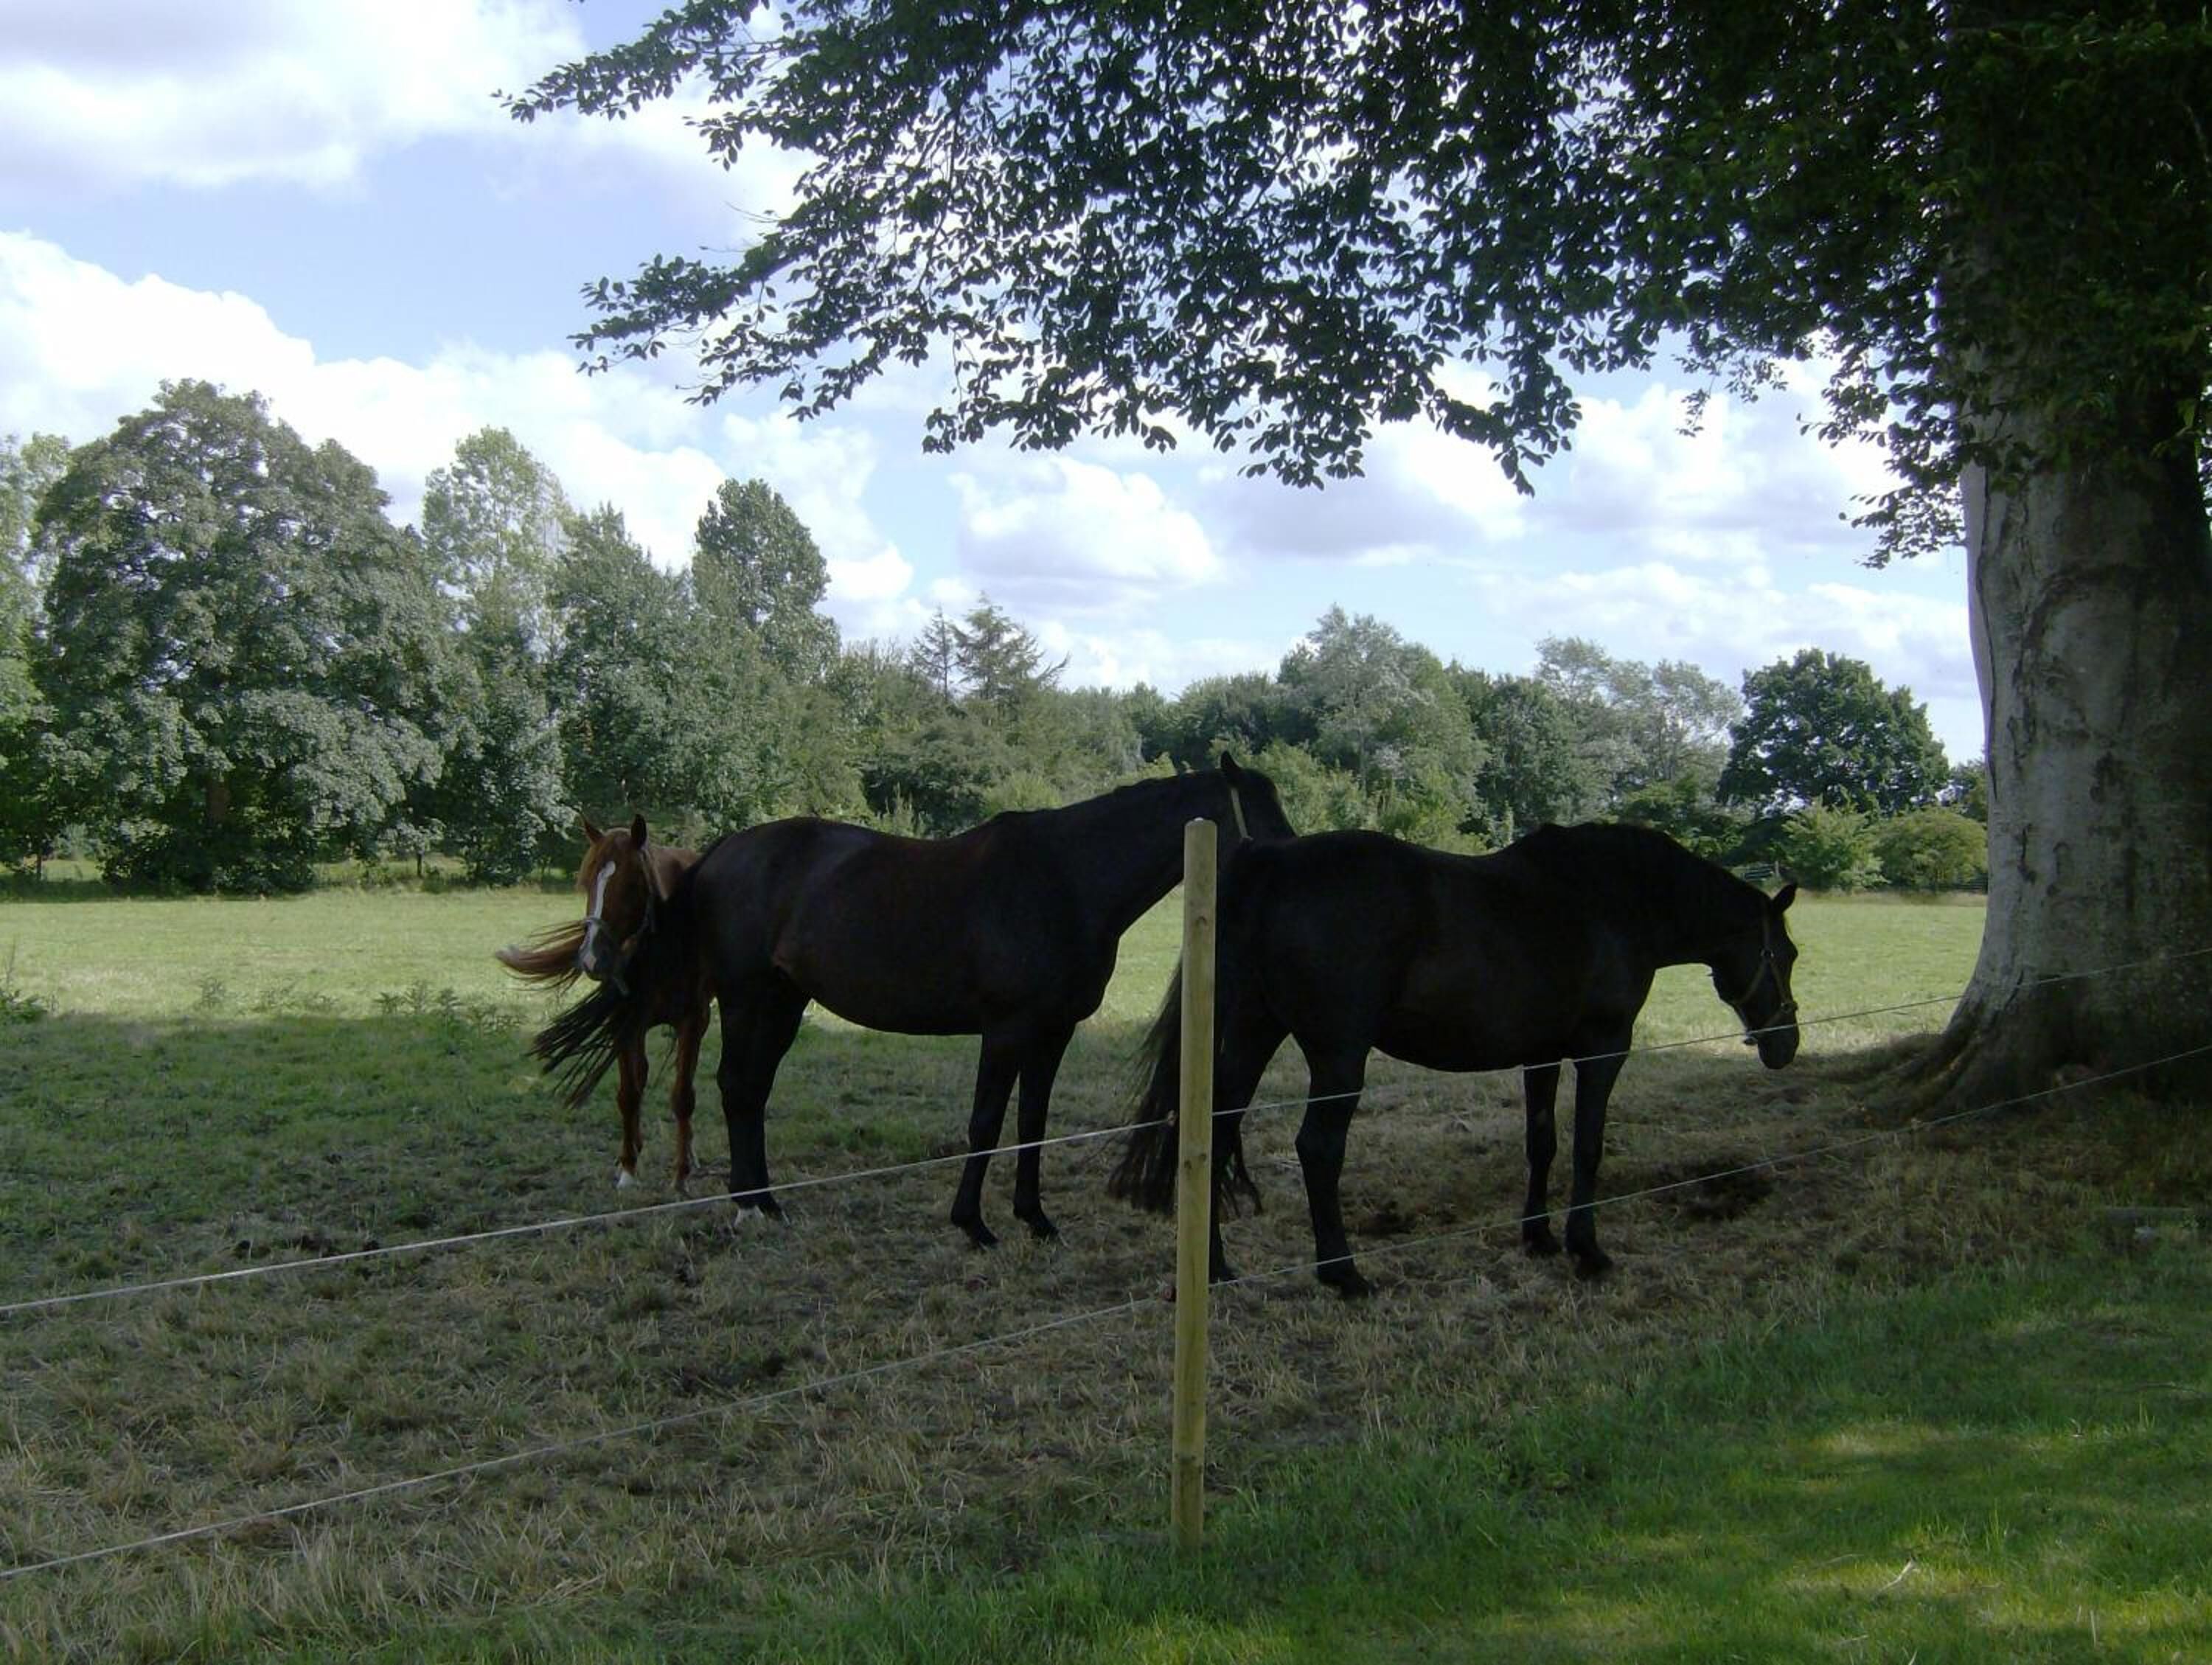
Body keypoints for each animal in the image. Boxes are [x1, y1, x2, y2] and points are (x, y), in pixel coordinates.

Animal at [497, 815, 712, 1191]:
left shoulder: (693, 1020)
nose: (591, 959)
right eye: (586, 884)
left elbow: (683, 1096)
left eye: (631, 885)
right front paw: (628, 1167)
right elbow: (629, 1093)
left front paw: (681, 1174)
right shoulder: (626, 1021)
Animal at [529, 757, 1295, 1247]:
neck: (1065, 879)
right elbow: (986, 1123)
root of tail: (720, 853)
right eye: (1259, 812)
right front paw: (974, 1225)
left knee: (750, 1092)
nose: (1298, 857)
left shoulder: (1053, 1033)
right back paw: (748, 1206)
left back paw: (767, 1205)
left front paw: (1035, 1219)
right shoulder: (1006, 1030)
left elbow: (1033, 1123)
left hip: (783, 1003)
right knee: (735, 1087)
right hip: (748, 1000)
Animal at [1108, 821, 1801, 1297]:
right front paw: (1587, 1249)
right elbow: (1588, 1146)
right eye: (1787, 954)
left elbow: (1542, 1142)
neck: (1612, 902)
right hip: (1337, 1056)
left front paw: (1537, 1236)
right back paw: (1343, 1274)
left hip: (1255, 1031)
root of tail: (1270, 863)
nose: (1786, 1044)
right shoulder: (1604, 1050)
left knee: (1217, 1132)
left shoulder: (1541, 1058)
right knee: (1317, 1148)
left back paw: (1217, 1268)